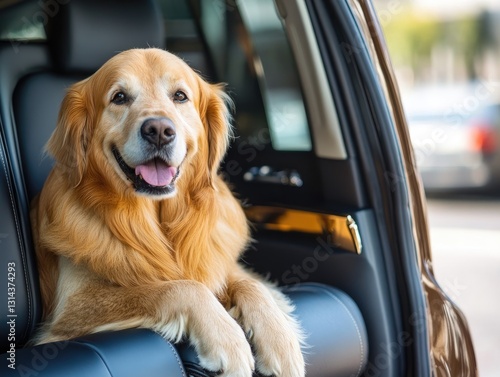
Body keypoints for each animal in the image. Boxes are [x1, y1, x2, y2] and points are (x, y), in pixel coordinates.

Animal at [31, 48, 304, 374]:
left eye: (180, 96)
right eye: (119, 97)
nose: (159, 131)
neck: (156, 219)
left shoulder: (217, 262)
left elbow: (252, 285)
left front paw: (281, 342)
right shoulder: (72, 307)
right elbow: (178, 287)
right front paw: (228, 340)